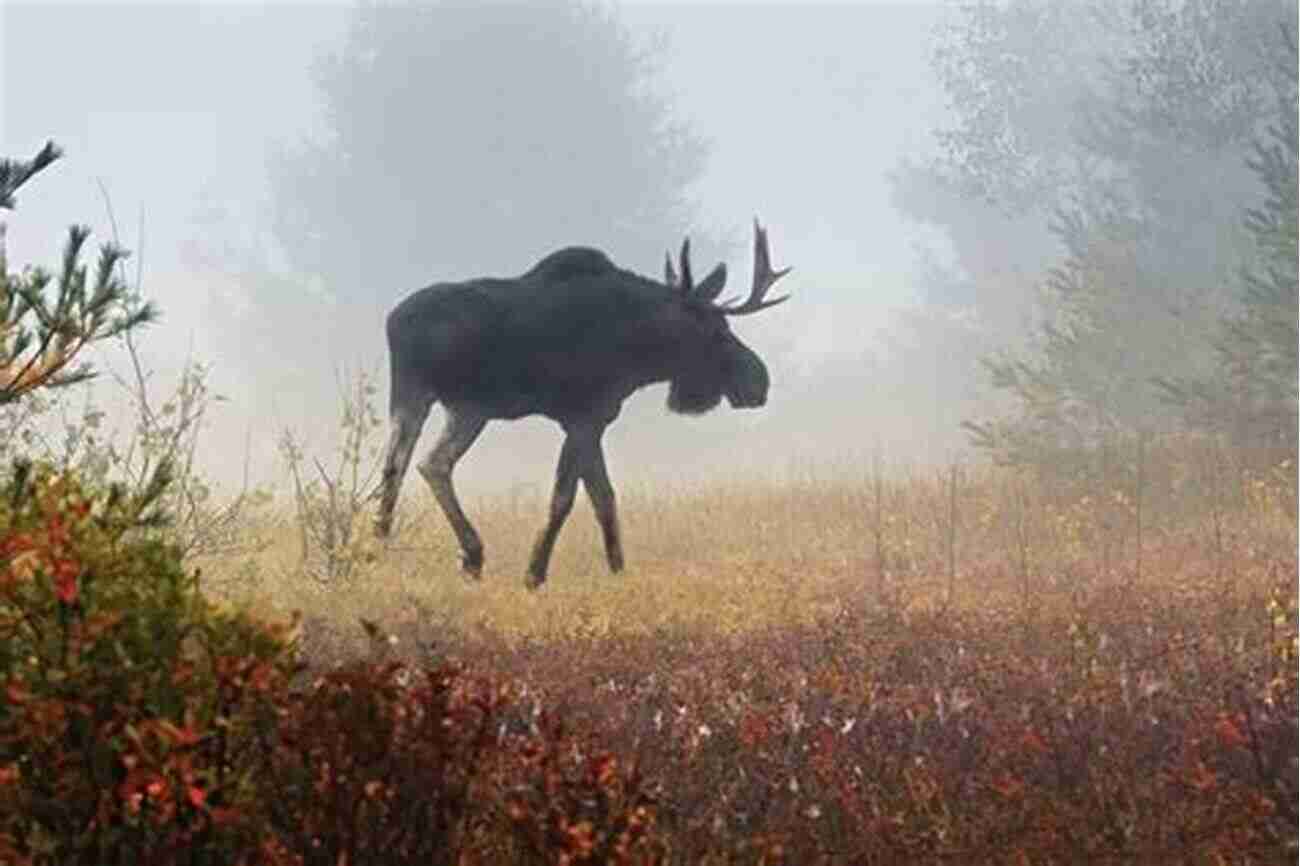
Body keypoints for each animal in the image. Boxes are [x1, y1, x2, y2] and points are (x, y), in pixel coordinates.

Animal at [371, 222, 785, 587]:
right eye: (716, 331)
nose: (759, 380)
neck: (642, 347)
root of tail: (391, 321)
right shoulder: (582, 418)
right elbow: (565, 498)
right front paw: (534, 574)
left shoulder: (593, 420)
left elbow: (603, 497)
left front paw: (618, 570)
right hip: (449, 402)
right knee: (423, 464)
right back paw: (467, 553)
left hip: (447, 406)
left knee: (410, 466)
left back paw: (386, 544)